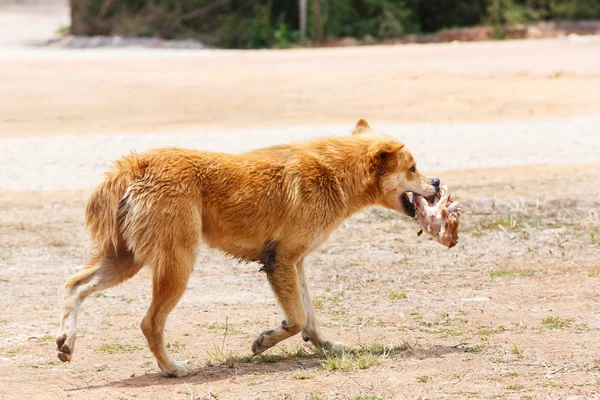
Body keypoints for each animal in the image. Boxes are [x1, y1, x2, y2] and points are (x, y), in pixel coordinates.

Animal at [56, 119, 438, 378]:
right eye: (413, 168)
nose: (436, 182)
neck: (333, 173)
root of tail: (135, 165)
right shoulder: (280, 260)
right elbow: (297, 319)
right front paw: (265, 341)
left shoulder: (295, 263)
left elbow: (310, 316)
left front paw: (326, 345)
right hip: (176, 266)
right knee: (150, 323)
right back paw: (172, 369)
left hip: (126, 259)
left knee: (75, 285)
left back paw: (66, 341)